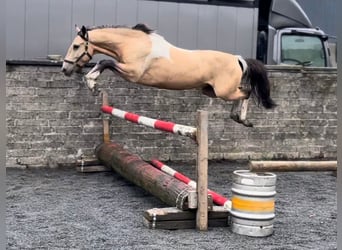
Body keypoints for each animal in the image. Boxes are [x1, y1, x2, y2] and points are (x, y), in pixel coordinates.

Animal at [62, 23, 276, 127]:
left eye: (76, 46)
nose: (65, 69)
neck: (134, 44)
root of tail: (237, 58)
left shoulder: (132, 73)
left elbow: (105, 62)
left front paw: (91, 83)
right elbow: (103, 62)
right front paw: (91, 82)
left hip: (224, 91)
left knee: (247, 93)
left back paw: (243, 119)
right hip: (211, 91)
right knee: (242, 93)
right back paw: (236, 117)